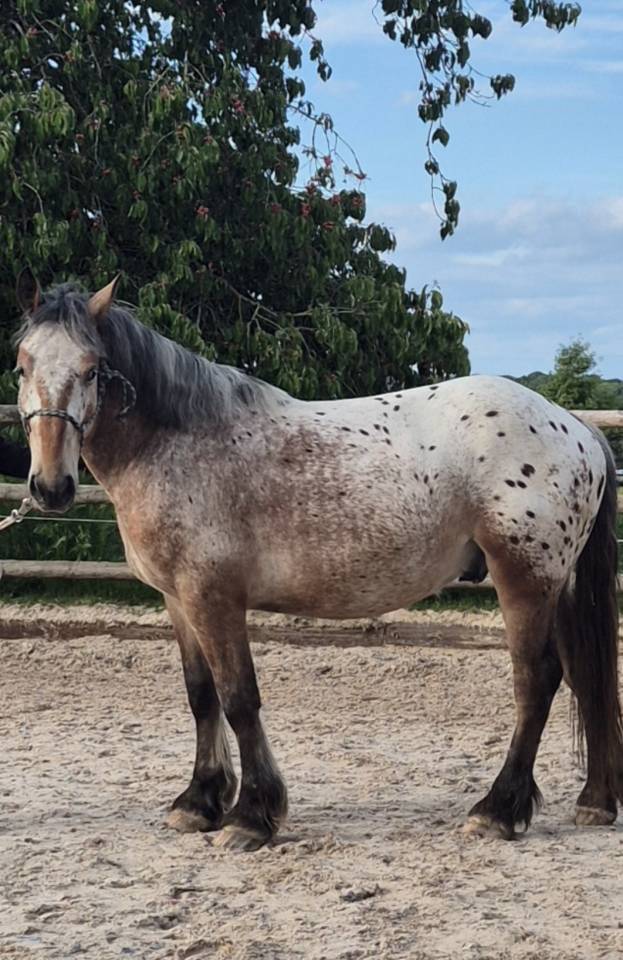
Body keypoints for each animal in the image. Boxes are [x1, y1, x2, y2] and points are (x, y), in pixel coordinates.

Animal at [13, 274, 622, 851]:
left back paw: (497, 811)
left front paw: (252, 817)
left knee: (537, 681)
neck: (179, 442)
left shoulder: (214, 598)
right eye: (22, 365)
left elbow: (239, 699)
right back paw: (594, 802)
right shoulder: (178, 600)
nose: (50, 487)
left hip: (524, 580)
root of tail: (575, 426)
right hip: (556, 586)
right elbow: (201, 695)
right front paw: (199, 803)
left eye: (93, 369)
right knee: (584, 676)